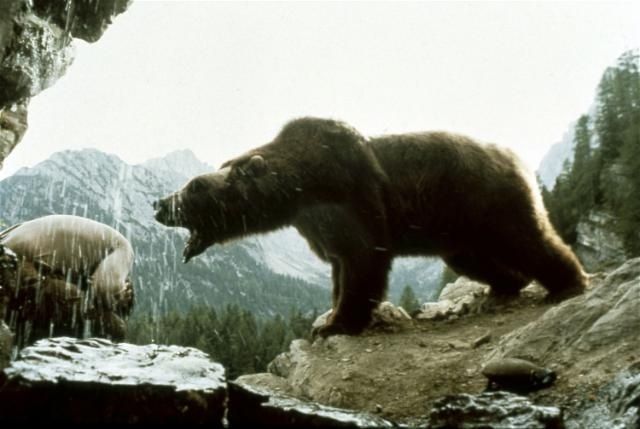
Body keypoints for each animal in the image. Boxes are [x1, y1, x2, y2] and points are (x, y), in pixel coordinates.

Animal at [153, 117, 587, 338]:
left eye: (195, 187)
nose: (159, 203)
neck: (301, 188)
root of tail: (514, 155)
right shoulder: (319, 224)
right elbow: (339, 265)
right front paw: (328, 315)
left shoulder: (355, 194)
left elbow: (363, 261)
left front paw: (338, 324)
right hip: (457, 229)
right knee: (474, 259)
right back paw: (501, 286)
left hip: (483, 197)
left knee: (526, 239)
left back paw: (567, 283)